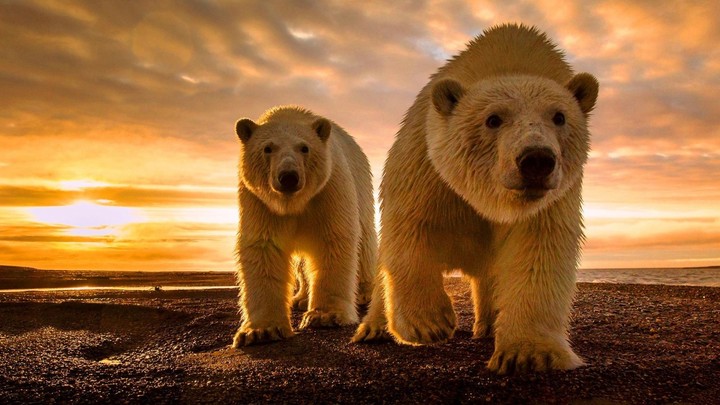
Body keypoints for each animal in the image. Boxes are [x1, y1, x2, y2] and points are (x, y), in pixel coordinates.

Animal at [232, 106, 377, 347]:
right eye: (267, 148)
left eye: (304, 147)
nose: (288, 177)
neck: (293, 203)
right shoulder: (259, 201)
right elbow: (263, 248)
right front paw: (261, 330)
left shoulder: (329, 188)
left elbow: (333, 238)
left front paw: (325, 316)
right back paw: (300, 298)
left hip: (362, 187)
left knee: (364, 241)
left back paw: (364, 292)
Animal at [352, 24, 599, 375]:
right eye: (493, 119)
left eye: (559, 116)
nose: (536, 160)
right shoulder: (427, 164)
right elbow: (411, 226)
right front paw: (428, 323)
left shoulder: (552, 199)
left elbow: (539, 251)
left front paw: (529, 354)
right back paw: (373, 328)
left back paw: (489, 324)